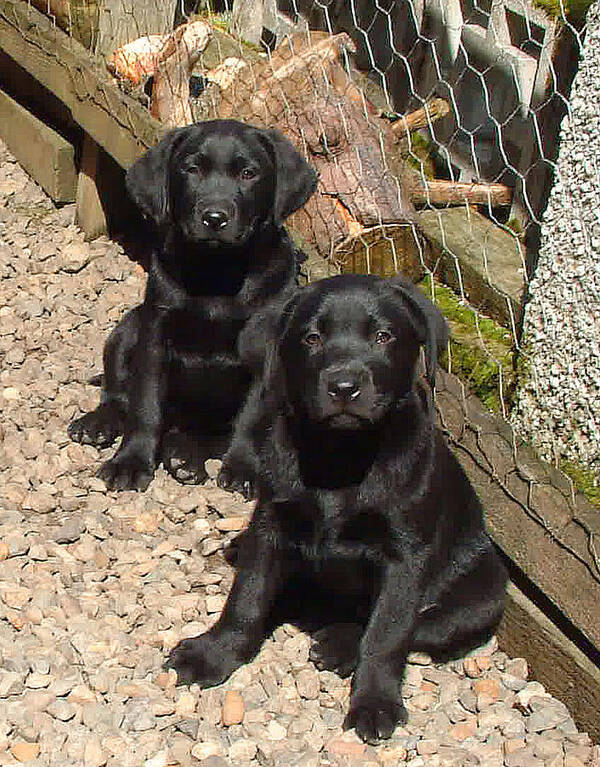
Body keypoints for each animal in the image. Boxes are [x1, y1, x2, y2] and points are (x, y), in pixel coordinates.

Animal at [67, 120, 316, 492]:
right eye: (192, 169)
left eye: (249, 173)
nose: (214, 217)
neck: (217, 272)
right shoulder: (155, 335)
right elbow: (144, 405)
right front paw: (130, 462)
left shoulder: (265, 350)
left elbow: (252, 417)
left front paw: (244, 468)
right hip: (130, 326)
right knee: (118, 392)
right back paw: (100, 422)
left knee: (211, 435)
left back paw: (185, 456)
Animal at [166, 274, 508, 744]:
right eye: (312, 338)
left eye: (383, 336)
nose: (344, 387)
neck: (341, 458)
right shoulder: (270, 527)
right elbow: (246, 598)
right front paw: (214, 653)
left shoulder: (406, 556)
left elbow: (388, 633)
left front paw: (376, 703)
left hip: (485, 593)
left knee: (421, 625)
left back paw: (341, 645)